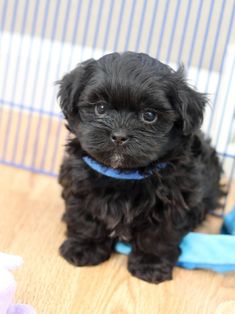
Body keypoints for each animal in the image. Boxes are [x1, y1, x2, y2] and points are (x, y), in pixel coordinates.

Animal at [57, 52, 222, 284]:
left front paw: (150, 264)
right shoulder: (79, 184)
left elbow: (159, 234)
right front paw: (83, 247)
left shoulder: (173, 199)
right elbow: (85, 217)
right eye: (100, 108)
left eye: (149, 116)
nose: (119, 136)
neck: (125, 175)